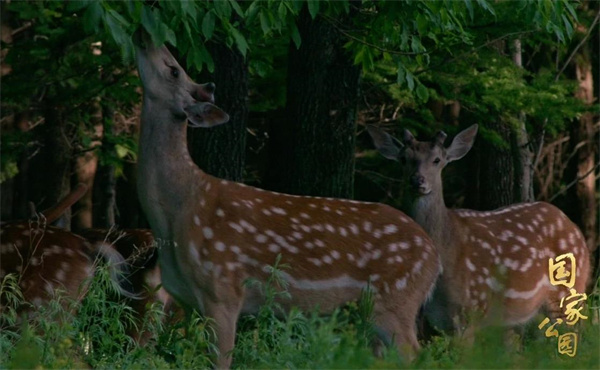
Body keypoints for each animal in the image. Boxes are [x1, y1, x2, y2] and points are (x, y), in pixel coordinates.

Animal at [136, 34, 440, 368]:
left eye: (174, 69)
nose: (144, 35)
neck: (177, 212)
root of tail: (433, 257)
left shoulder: (224, 289)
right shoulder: (186, 301)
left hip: (396, 300)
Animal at [370, 124, 592, 336]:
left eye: (437, 160)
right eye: (404, 159)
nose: (417, 180)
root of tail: (575, 229)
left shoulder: (472, 307)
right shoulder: (439, 319)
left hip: (568, 291)